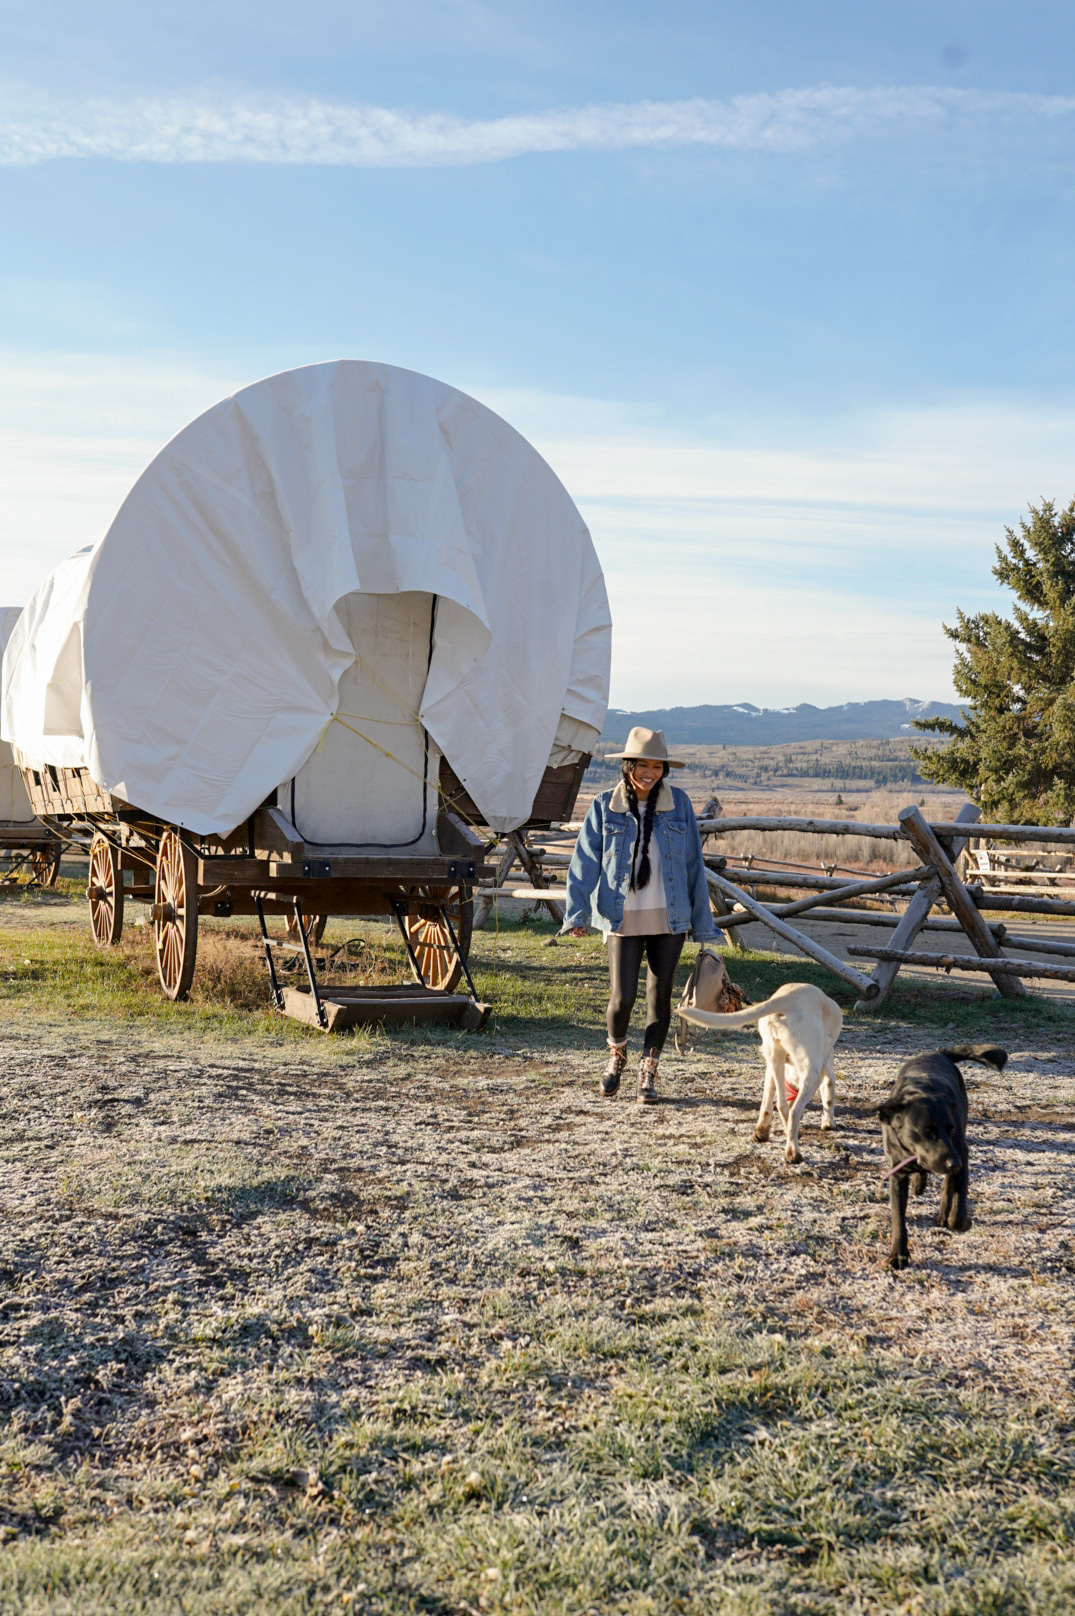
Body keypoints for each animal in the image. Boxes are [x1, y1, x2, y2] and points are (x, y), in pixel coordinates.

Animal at [879, 1047, 1002, 1273]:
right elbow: (898, 1218)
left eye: (950, 1129)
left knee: (948, 1185)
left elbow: (958, 1199)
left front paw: (958, 1221)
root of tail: (937, 1053)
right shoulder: (897, 1171)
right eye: (927, 1132)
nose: (954, 1163)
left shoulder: (961, 1152)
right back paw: (920, 1183)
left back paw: (944, 1214)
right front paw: (898, 1255)